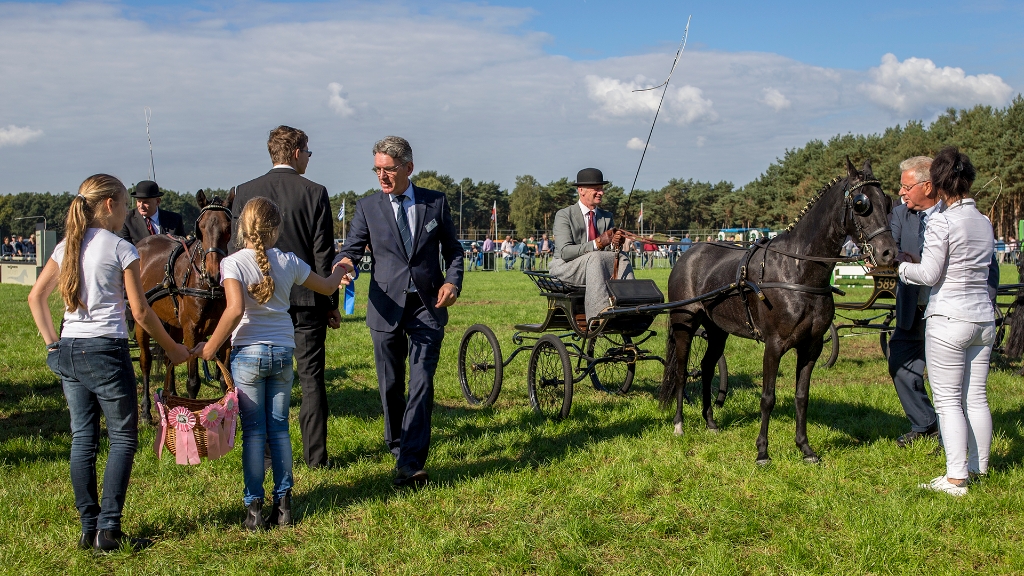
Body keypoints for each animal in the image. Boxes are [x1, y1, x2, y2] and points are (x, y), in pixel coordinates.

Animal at [134, 190, 232, 420]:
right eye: (201, 228)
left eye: (228, 227)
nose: (214, 274)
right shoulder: (191, 331)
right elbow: (193, 381)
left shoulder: (223, 333)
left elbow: (224, 380)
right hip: (142, 321)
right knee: (145, 361)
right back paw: (146, 410)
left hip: (173, 324)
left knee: (170, 356)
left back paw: (170, 396)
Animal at [663, 158, 897, 463]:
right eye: (861, 203)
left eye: (887, 201)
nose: (888, 253)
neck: (797, 272)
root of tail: (687, 255)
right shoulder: (773, 346)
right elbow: (768, 397)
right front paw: (762, 451)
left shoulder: (811, 347)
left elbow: (802, 396)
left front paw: (805, 448)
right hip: (685, 324)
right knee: (680, 371)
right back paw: (679, 424)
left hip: (717, 330)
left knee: (706, 367)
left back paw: (711, 422)